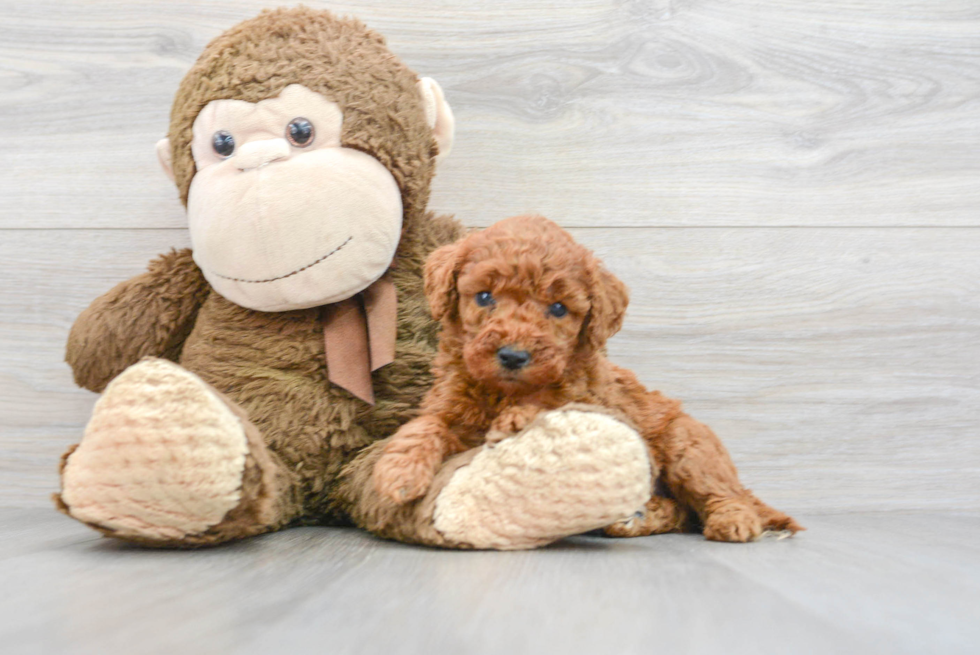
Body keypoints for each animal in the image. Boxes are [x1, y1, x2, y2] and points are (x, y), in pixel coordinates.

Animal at [376, 215, 804, 544]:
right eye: (484, 297)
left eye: (558, 308)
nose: (513, 356)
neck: (504, 392)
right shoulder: (449, 408)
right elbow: (425, 426)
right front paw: (399, 471)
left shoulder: (596, 401)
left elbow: (553, 402)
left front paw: (516, 419)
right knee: (681, 512)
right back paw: (636, 517)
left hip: (689, 448)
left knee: (719, 495)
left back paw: (733, 521)